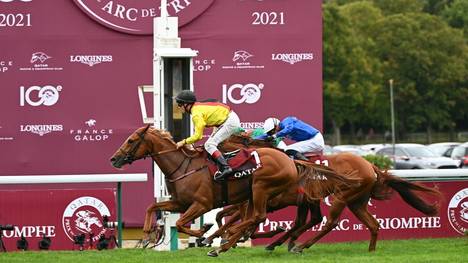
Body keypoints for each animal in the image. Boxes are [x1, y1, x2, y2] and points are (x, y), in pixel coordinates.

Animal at [109, 127, 356, 256]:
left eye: (131, 140)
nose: (114, 159)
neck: (183, 166)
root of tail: (290, 160)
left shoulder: (202, 204)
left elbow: (183, 223)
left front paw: (204, 234)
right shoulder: (180, 202)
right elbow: (153, 207)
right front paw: (147, 234)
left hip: (260, 188)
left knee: (260, 217)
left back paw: (229, 243)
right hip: (275, 197)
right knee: (297, 220)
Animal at [218, 134, 440, 254]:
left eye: (224, 141)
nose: (213, 147)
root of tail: (371, 166)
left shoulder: (268, 200)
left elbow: (244, 220)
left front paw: (226, 238)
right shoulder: (295, 201)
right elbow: (233, 217)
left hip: (342, 197)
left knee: (330, 222)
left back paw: (300, 246)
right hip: (356, 202)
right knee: (373, 224)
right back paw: (370, 251)